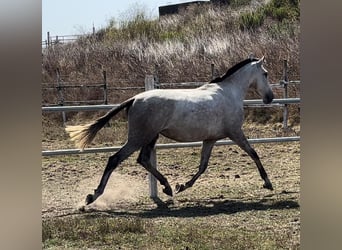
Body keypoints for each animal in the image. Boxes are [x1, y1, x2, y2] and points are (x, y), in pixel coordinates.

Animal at [66, 56, 276, 205]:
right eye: (265, 73)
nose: (270, 97)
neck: (229, 93)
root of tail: (134, 99)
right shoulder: (235, 133)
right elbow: (253, 153)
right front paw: (268, 183)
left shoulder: (210, 139)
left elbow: (202, 166)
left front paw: (182, 186)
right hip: (139, 137)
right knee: (115, 159)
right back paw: (92, 196)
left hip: (151, 137)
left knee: (143, 159)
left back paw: (167, 187)